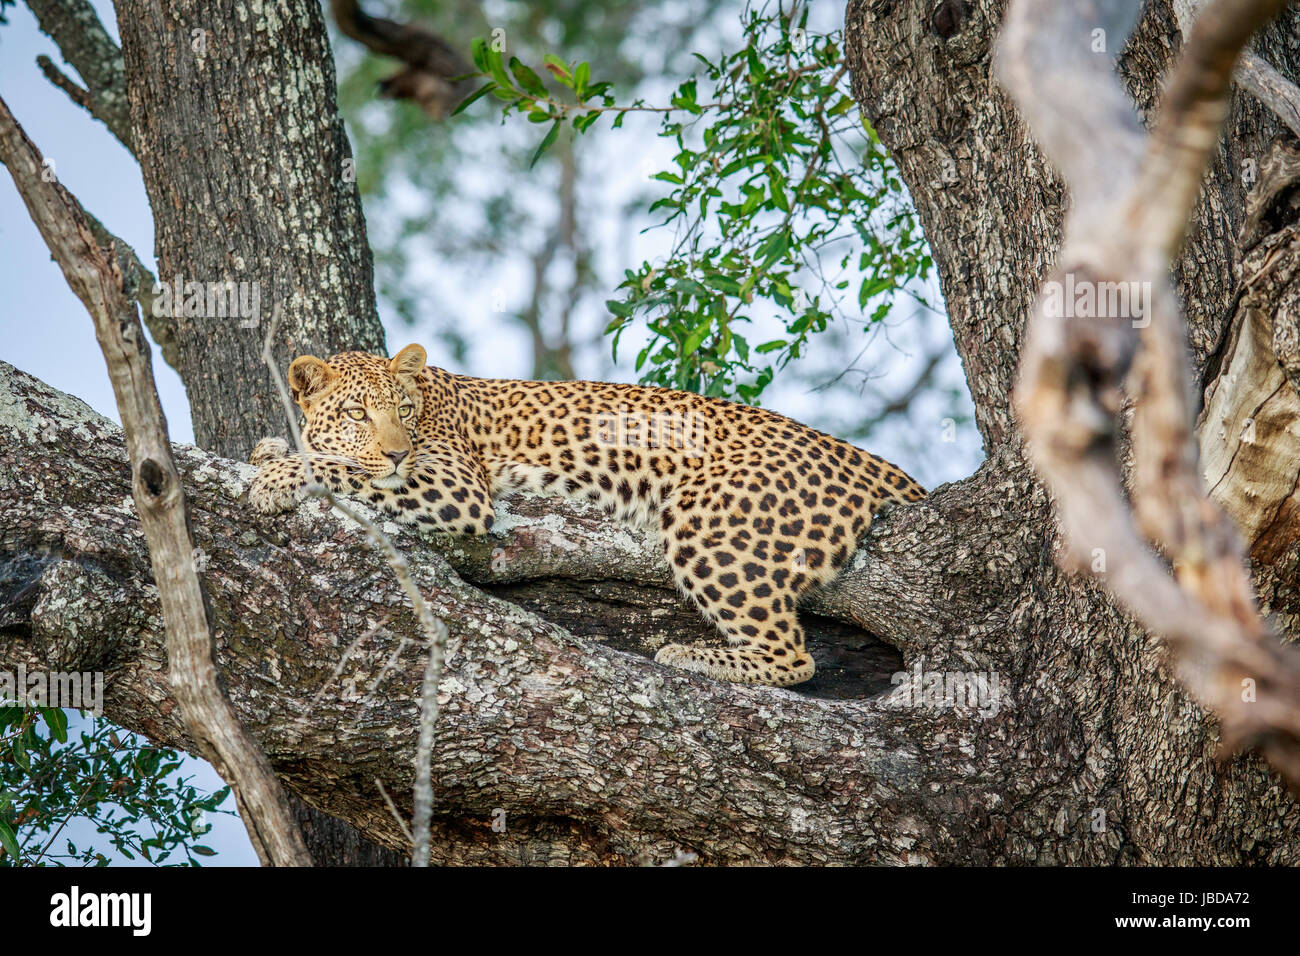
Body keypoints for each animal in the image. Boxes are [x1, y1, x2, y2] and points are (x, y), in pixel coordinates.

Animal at [248, 343, 926, 686]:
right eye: (357, 413)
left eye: (404, 410)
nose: (395, 450)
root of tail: (870, 461)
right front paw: (271, 448)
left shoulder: (454, 484)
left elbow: (341, 468)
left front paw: (275, 477)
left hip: (710, 523)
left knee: (793, 657)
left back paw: (688, 655)